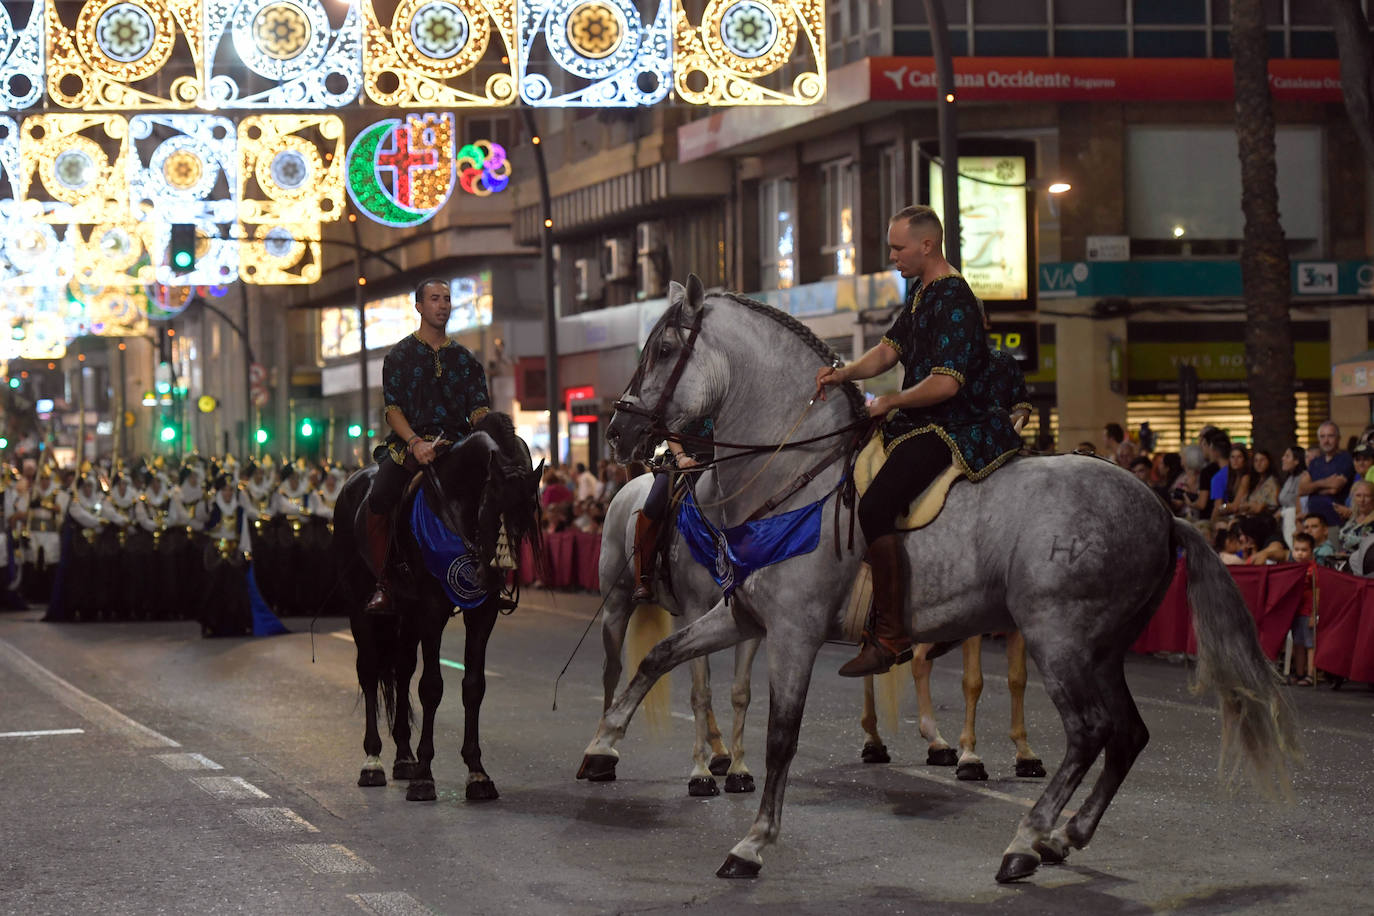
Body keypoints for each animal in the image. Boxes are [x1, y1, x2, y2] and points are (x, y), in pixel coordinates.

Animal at [332, 414, 541, 802]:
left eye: (528, 511)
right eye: (491, 502)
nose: (493, 572)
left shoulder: (482, 614)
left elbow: (473, 686)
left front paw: (477, 772)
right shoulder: (431, 610)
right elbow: (431, 687)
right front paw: (425, 777)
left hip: (405, 615)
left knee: (400, 671)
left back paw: (403, 757)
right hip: (360, 606)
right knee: (369, 671)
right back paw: (373, 761)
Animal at [588, 472, 769, 796]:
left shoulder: (743, 623)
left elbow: (739, 693)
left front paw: (739, 769)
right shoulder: (695, 609)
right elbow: (700, 693)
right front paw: (700, 774)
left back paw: (720, 753)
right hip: (615, 608)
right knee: (612, 672)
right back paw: (600, 755)